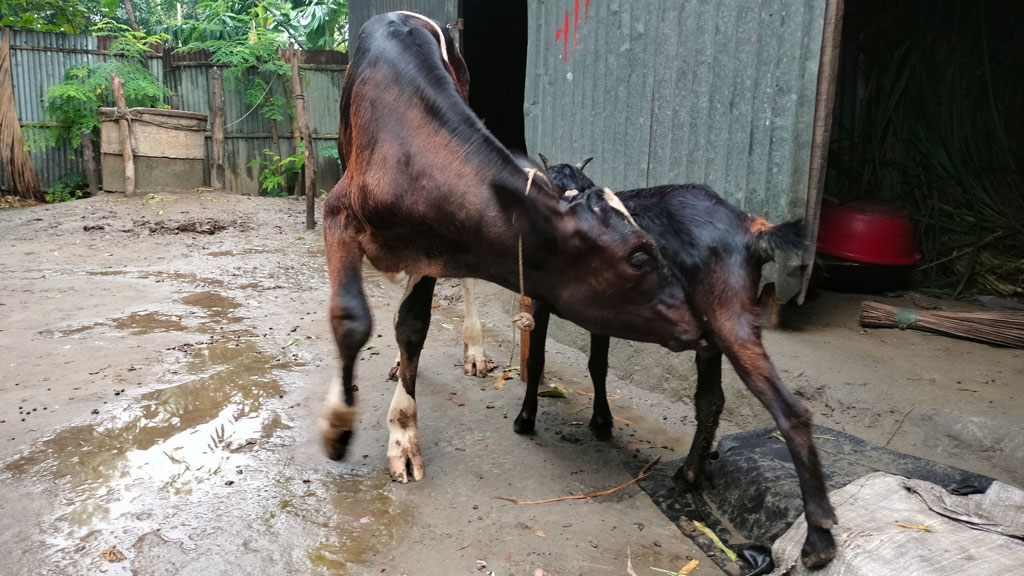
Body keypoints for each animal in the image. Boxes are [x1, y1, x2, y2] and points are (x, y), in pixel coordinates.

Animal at [319, 12, 696, 483]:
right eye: (640, 257)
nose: (697, 320)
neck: (407, 153)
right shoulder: (337, 214)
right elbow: (351, 318)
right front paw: (337, 424)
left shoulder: (434, 247)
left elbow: (412, 325)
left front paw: (403, 435)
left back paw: (474, 351)